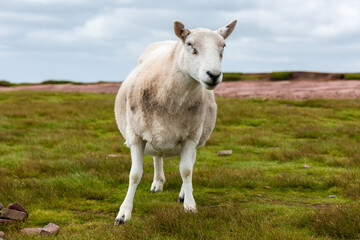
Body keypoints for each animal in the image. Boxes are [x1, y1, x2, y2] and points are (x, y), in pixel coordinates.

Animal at [112, 19, 236, 224]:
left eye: (223, 46)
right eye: (190, 44)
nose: (213, 75)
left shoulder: (191, 137)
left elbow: (186, 171)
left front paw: (190, 205)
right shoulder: (136, 136)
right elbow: (135, 175)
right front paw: (123, 214)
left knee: (188, 164)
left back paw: (183, 193)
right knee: (157, 156)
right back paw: (157, 183)